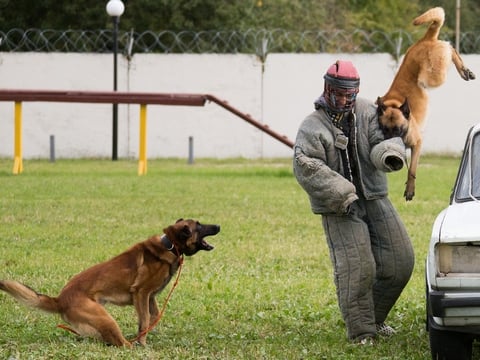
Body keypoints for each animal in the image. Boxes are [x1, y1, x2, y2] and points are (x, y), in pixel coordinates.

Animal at [0, 218, 220, 348]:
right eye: (200, 225)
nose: (219, 226)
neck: (170, 245)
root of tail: (59, 299)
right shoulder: (141, 293)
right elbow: (145, 321)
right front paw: (143, 343)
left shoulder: (150, 298)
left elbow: (152, 317)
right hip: (105, 318)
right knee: (121, 343)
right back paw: (131, 346)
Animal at [376, 7, 474, 201]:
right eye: (385, 129)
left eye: (398, 129)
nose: (391, 144)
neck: (394, 104)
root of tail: (424, 39)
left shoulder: (417, 144)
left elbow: (412, 169)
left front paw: (410, 189)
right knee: (449, 47)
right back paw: (465, 70)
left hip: (431, 76)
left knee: (449, 47)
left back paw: (463, 68)